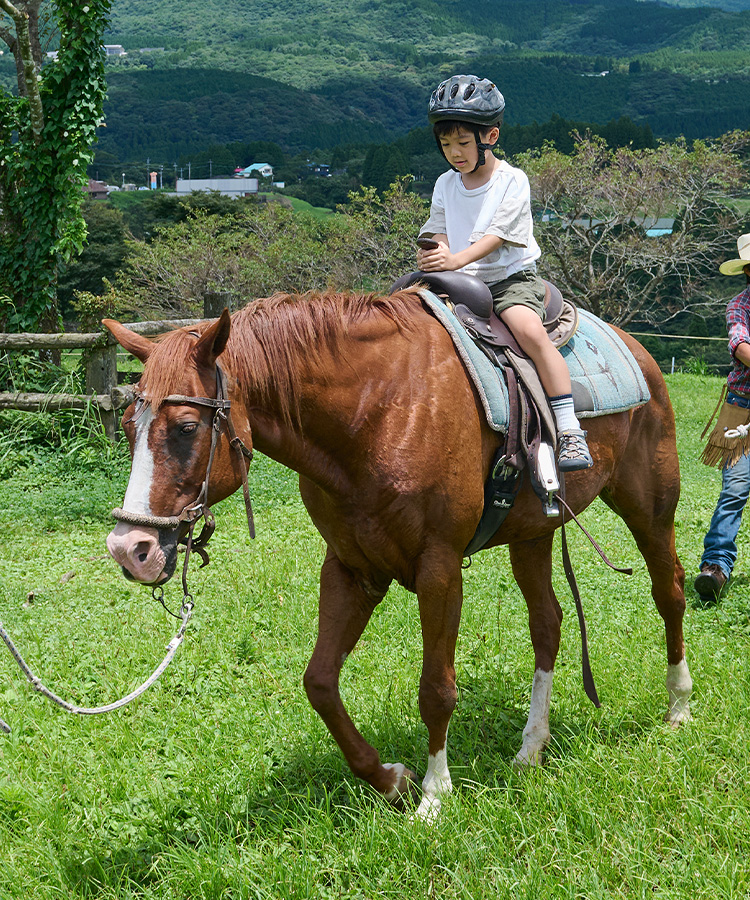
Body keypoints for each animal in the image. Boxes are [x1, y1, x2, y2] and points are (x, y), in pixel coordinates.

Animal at [104, 287, 692, 820]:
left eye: (185, 429)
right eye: (128, 427)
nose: (130, 550)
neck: (378, 411)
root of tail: (635, 347)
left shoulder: (439, 569)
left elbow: (436, 689)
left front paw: (433, 794)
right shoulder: (351, 568)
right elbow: (320, 682)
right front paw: (391, 780)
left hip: (650, 509)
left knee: (670, 592)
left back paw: (678, 707)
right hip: (532, 535)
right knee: (548, 622)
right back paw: (530, 749)